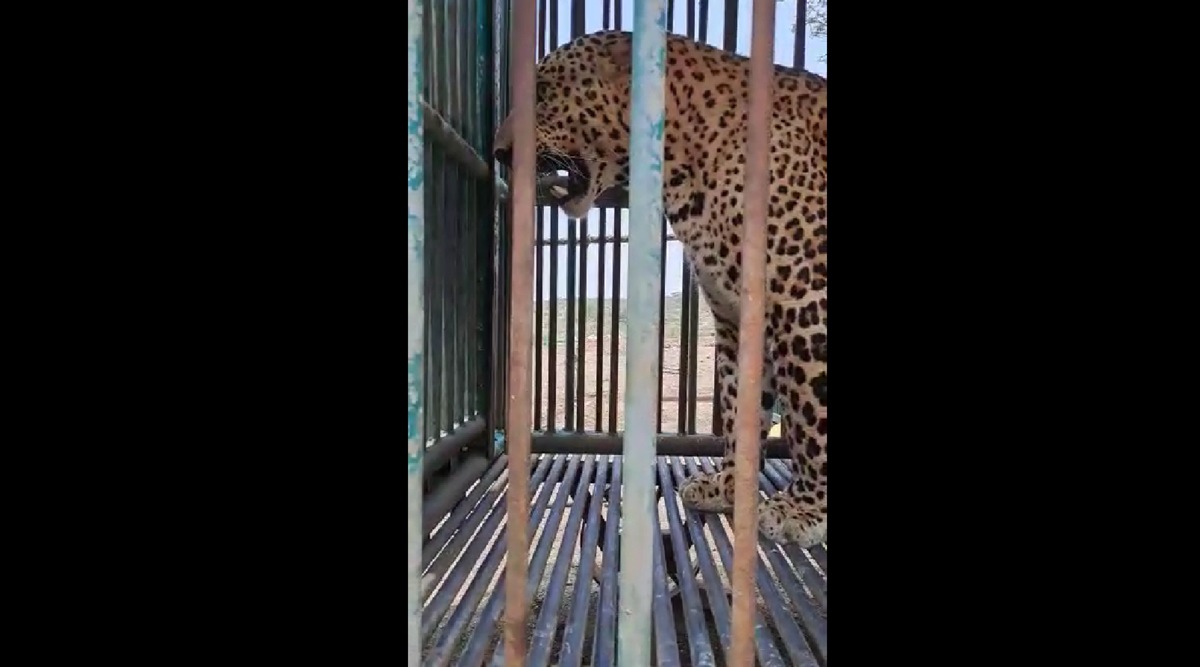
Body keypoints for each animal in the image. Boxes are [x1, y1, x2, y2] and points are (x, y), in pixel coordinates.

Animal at [493, 30, 826, 548]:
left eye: (544, 92)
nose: (499, 152)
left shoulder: (805, 297)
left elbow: (811, 416)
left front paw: (805, 509)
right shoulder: (735, 317)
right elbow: (740, 405)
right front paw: (730, 485)